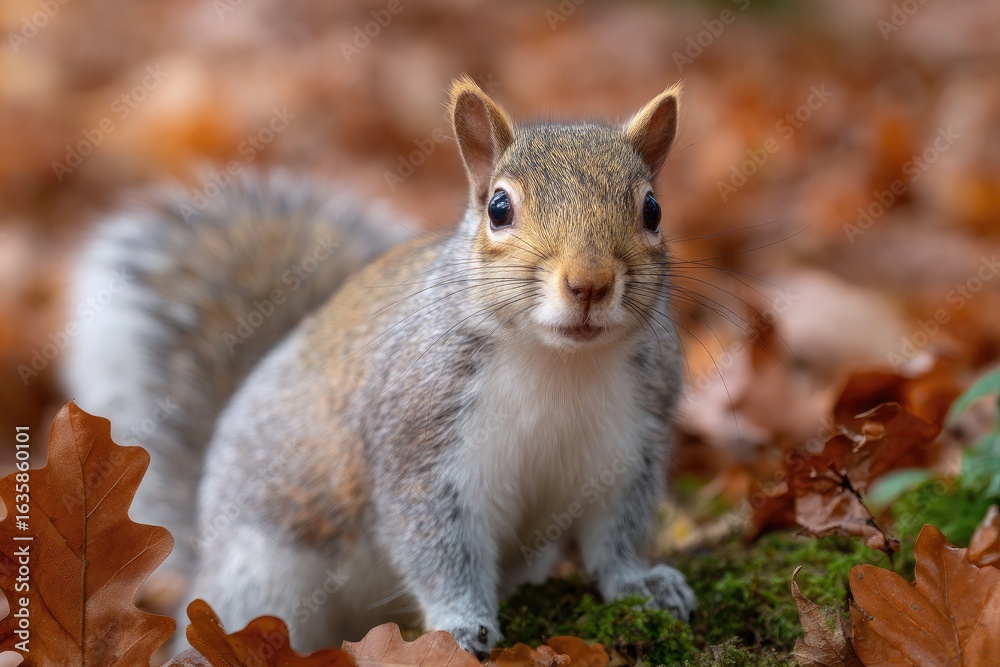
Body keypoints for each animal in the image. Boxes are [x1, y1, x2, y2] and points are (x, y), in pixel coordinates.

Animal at [64, 76, 695, 658]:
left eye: (653, 210)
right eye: (498, 208)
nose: (589, 283)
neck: (560, 362)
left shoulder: (633, 441)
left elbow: (619, 532)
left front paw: (643, 585)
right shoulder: (419, 440)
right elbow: (436, 544)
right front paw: (461, 622)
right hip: (262, 571)